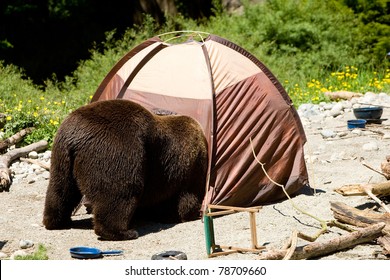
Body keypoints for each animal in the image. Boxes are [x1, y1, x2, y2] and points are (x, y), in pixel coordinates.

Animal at [42, 99, 210, 241]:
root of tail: (75, 136)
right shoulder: (188, 168)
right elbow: (187, 196)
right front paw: (186, 214)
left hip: (62, 158)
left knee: (60, 190)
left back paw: (56, 221)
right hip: (117, 150)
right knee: (120, 192)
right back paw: (123, 232)